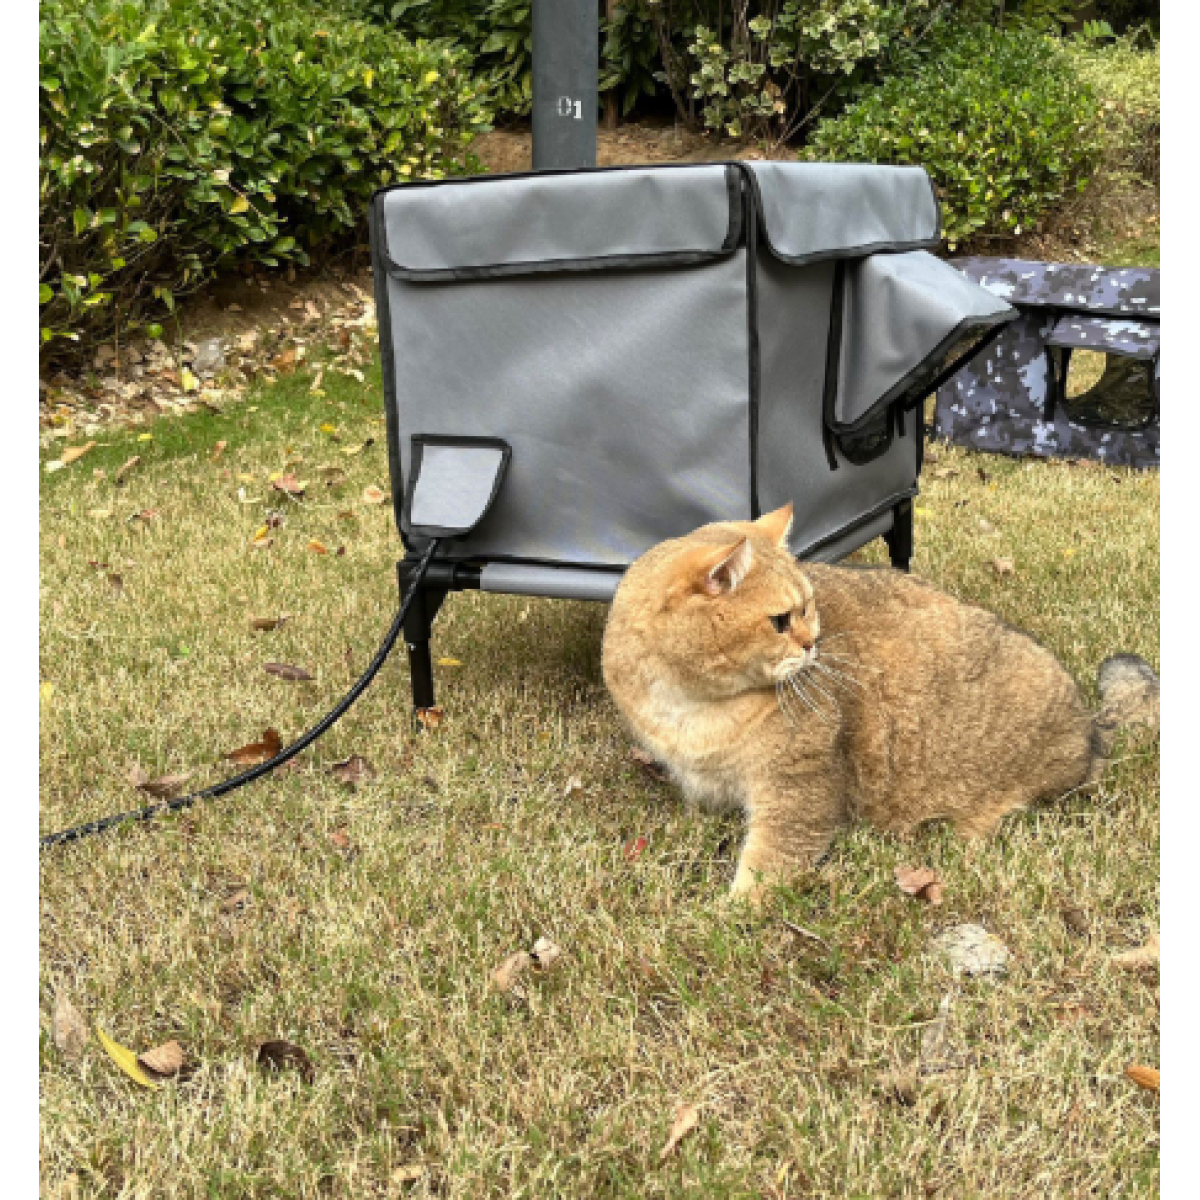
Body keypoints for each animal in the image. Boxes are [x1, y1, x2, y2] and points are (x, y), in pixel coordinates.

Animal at [601, 503, 1159, 903]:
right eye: (781, 621)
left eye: (809, 608)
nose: (813, 644)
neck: (692, 705)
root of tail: (1091, 725)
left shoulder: (797, 789)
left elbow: (770, 862)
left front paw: (736, 911)